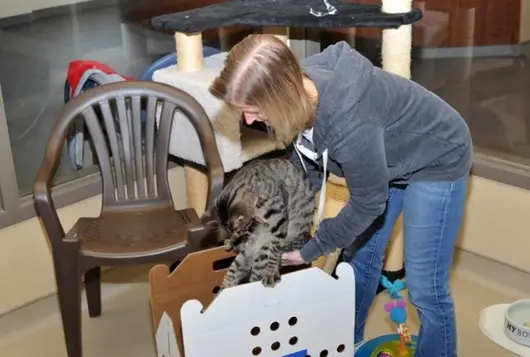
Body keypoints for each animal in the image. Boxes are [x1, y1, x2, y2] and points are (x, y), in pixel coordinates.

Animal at [213, 158, 316, 290]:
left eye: (240, 229)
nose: (240, 232)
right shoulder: (255, 222)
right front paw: (231, 240)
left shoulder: (280, 221)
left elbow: (275, 251)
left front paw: (270, 271)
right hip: (241, 259)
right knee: (230, 280)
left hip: (262, 254)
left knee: (254, 278)